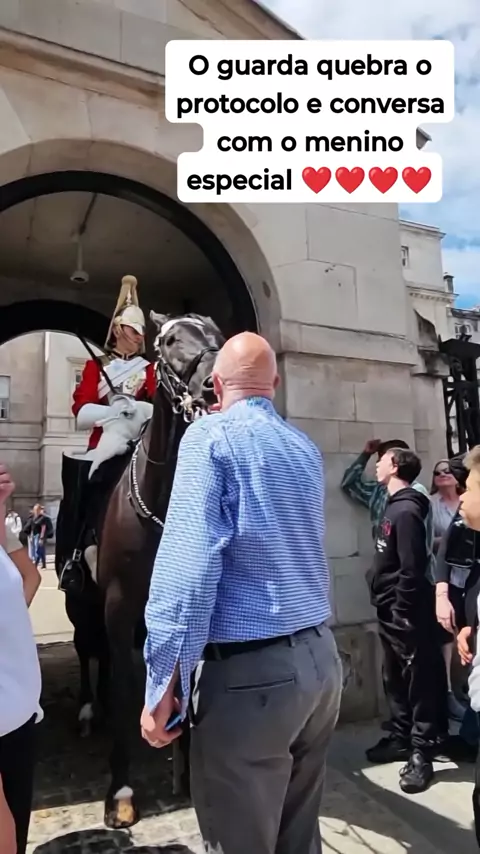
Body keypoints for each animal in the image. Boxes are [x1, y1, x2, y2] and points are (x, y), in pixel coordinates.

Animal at [56, 311, 225, 828]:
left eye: (218, 332)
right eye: (168, 341)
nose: (213, 385)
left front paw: (187, 774)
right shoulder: (120, 604)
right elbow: (129, 685)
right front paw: (122, 792)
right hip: (81, 601)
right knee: (88, 650)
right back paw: (89, 711)